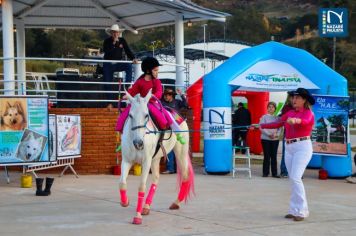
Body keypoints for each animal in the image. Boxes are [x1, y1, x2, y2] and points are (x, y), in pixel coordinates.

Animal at [119, 90, 193, 225]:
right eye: (130, 115)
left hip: (180, 152)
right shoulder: (126, 161)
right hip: (155, 159)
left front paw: (137, 217)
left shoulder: (146, 162)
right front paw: (125, 201)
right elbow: (122, 183)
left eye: (146, 115)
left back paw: (176, 203)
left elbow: (141, 186)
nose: (138, 143)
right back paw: (146, 207)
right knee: (156, 178)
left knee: (185, 175)